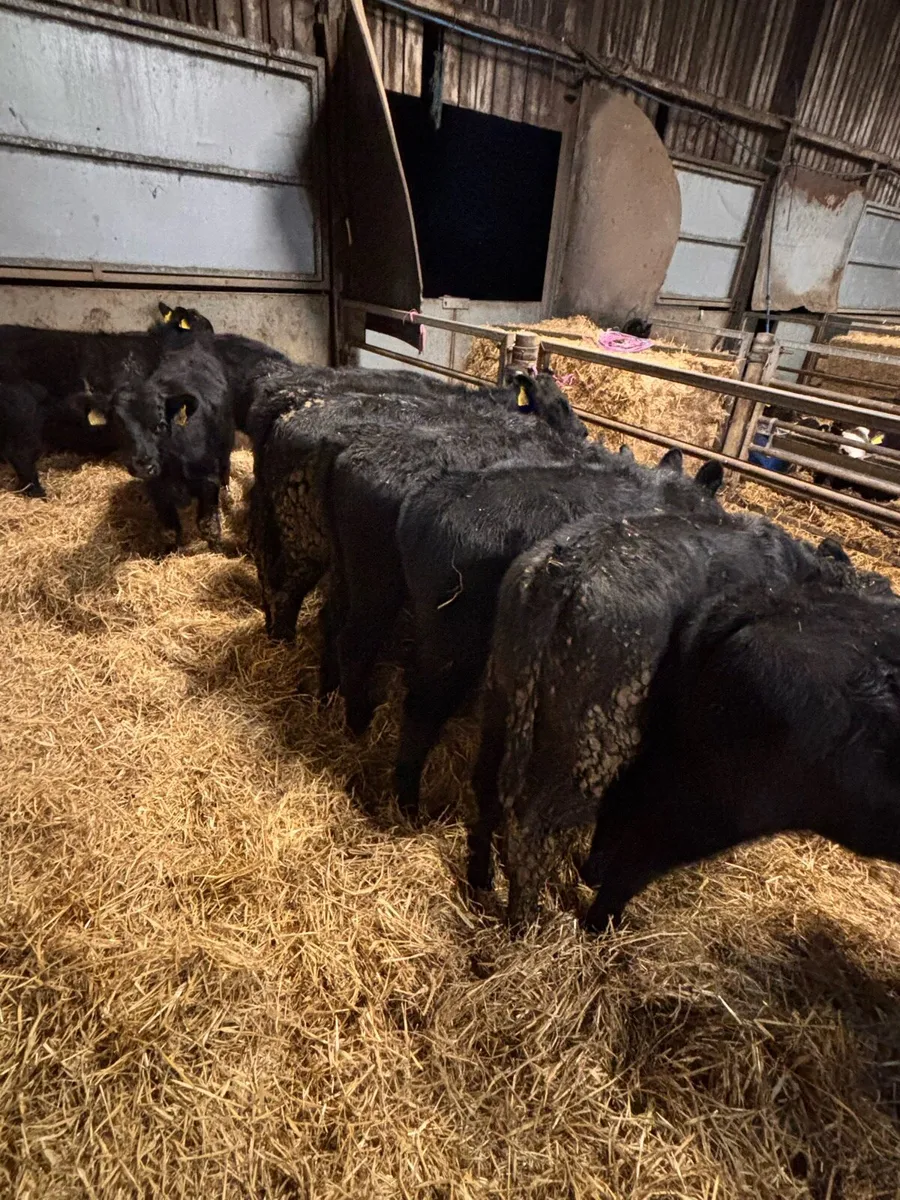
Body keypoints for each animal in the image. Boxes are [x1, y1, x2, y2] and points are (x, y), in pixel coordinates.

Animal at [466, 506, 892, 931]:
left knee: (486, 788)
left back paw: (480, 879)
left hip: (501, 697)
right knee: (532, 824)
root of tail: (563, 569)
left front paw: (593, 870)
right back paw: (525, 921)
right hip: (588, 746)